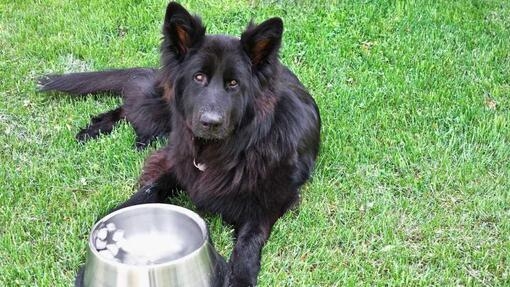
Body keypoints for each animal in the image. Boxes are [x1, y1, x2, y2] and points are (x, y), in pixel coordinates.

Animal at [39, 1, 318, 286]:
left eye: (233, 83)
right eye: (198, 78)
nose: (210, 122)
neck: (222, 150)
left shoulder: (270, 202)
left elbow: (249, 240)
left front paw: (240, 276)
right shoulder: (179, 165)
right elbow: (152, 187)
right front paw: (114, 215)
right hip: (160, 109)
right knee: (131, 105)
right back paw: (96, 129)